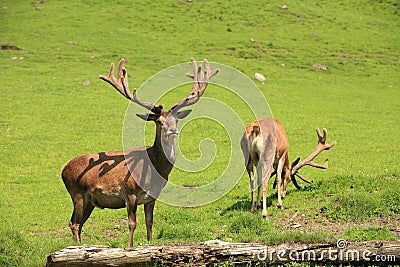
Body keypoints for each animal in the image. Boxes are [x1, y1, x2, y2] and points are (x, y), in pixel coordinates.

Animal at [61, 57, 219, 248]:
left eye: (176, 120)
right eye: (159, 121)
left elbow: (149, 222)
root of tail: (63, 170)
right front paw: (130, 248)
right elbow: (132, 223)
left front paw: (150, 245)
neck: (155, 171)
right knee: (74, 223)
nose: (173, 130)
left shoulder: (151, 198)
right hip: (77, 192)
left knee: (79, 223)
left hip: (90, 201)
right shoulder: (129, 192)